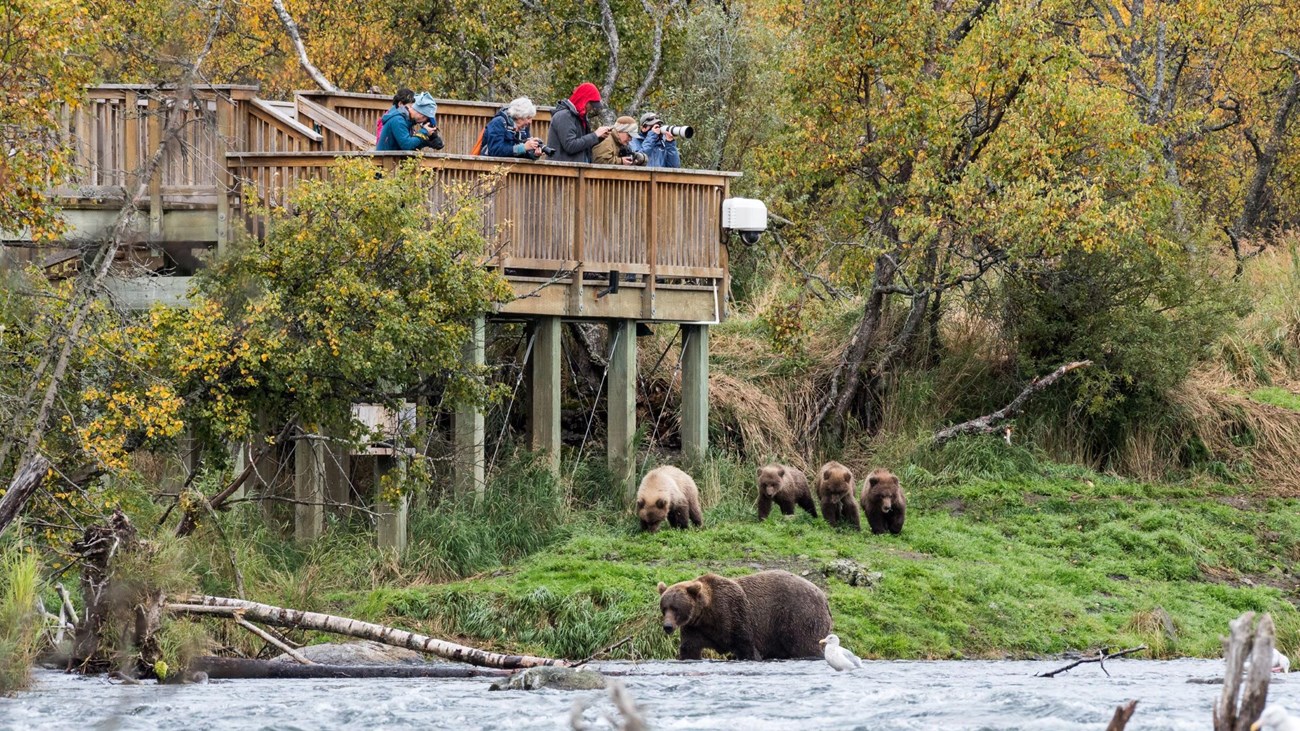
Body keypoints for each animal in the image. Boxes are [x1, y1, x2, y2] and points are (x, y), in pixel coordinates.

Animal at [655, 569, 826, 660]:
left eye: (676, 608)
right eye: (664, 608)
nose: (667, 626)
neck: (707, 613)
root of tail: (823, 596)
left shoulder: (735, 615)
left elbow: (747, 647)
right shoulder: (695, 628)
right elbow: (689, 649)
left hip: (800, 617)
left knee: (806, 646)